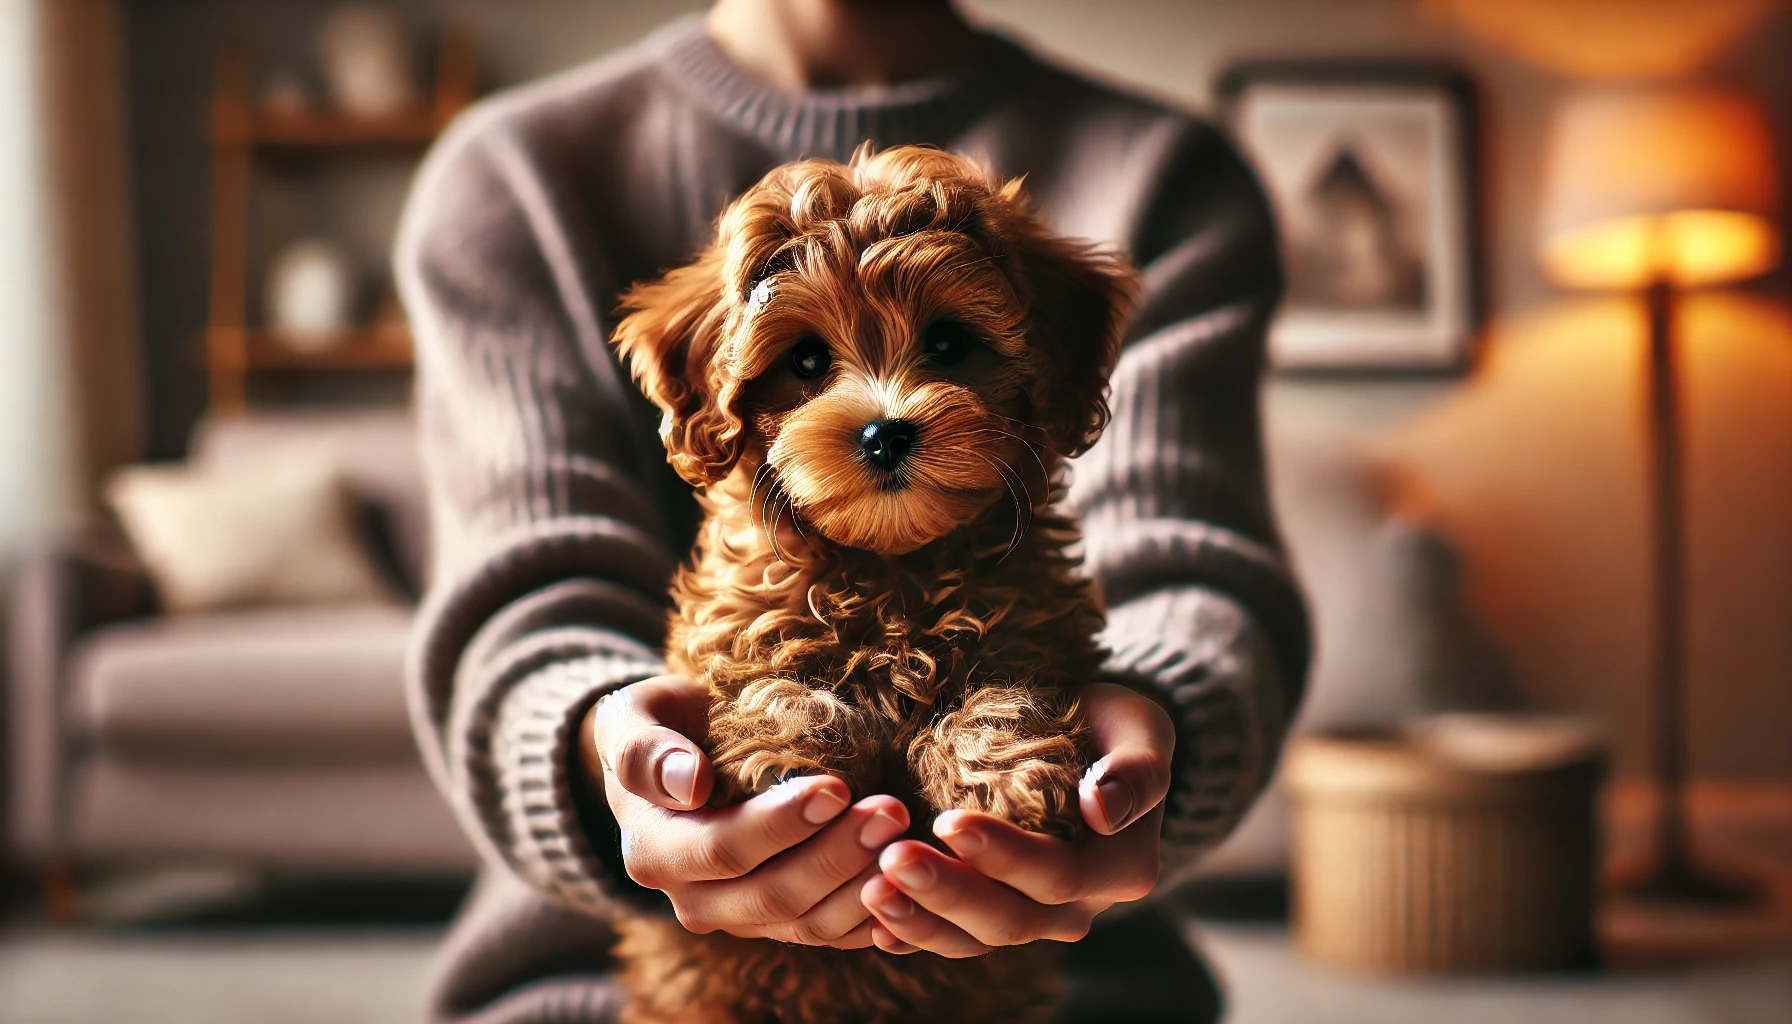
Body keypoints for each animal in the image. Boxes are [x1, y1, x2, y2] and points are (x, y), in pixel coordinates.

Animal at [609, 144, 1125, 1024]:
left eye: (949, 344)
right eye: (807, 361)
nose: (885, 432)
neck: (889, 565)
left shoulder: (1034, 633)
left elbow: (1006, 694)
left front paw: (1003, 772)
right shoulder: (734, 626)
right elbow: (766, 680)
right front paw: (789, 753)